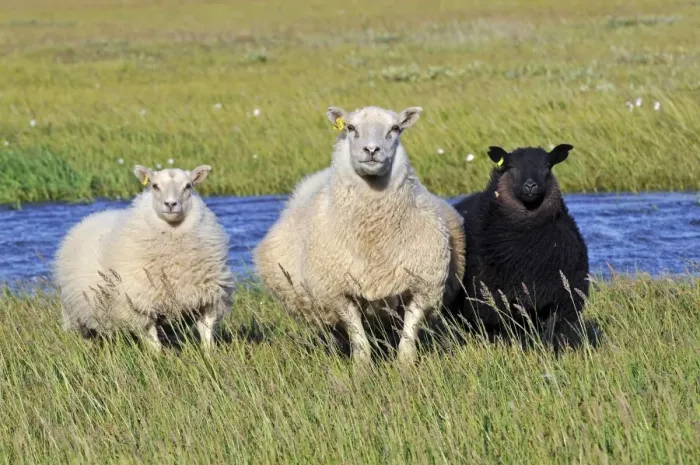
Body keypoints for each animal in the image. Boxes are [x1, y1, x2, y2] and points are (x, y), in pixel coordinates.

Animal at [54, 164, 235, 350]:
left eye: (188, 186)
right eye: (154, 186)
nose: (171, 204)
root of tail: (92, 216)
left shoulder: (209, 301)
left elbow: (207, 336)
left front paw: (209, 354)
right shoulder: (139, 307)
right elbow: (153, 345)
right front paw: (158, 357)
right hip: (78, 315)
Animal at [254, 105, 466, 365]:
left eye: (395, 128)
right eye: (350, 127)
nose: (372, 150)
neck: (373, 236)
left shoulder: (423, 287)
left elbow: (408, 335)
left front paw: (405, 366)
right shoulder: (337, 293)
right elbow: (359, 339)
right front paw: (362, 368)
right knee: (337, 331)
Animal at [447, 144, 590, 350]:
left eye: (547, 166)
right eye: (511, 166)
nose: (530, 185)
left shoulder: (560, 300)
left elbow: (550, 336)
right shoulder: (497, 303)